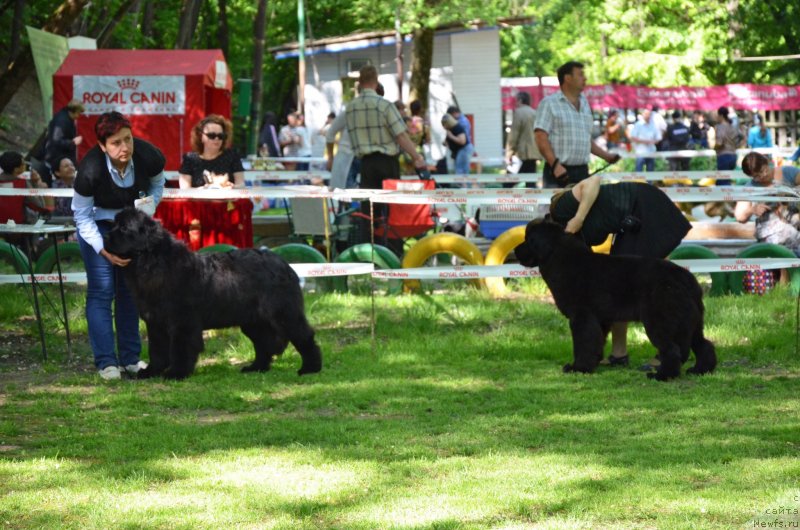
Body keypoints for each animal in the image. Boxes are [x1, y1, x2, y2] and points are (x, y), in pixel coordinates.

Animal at [103, 204, 322, 378]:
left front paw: (176, 373)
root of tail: (284, 263)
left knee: (304, 336)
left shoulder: (183, 321)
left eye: (124, 228)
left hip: (284, 313)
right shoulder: (155, 322)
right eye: (113, 224)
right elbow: (157, 350)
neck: (152, 261)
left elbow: (180, 348)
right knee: (263, 344)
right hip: (253, 321)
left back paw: (310, 368)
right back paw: (255, 367)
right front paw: (150, 372)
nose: (105, 236)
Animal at [516, 219, 716, 380]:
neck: (559, 257)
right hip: (691, 322)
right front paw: (592, 363)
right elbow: (595, 342)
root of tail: (687, 279)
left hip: (659, 321)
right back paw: (700, 370)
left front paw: (578, 368)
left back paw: (662, 376)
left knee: (672, 349)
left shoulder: (581, 316)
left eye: (528, 239)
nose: (516, 250)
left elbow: (582, 343)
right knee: (704, 344)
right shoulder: (600, 319)